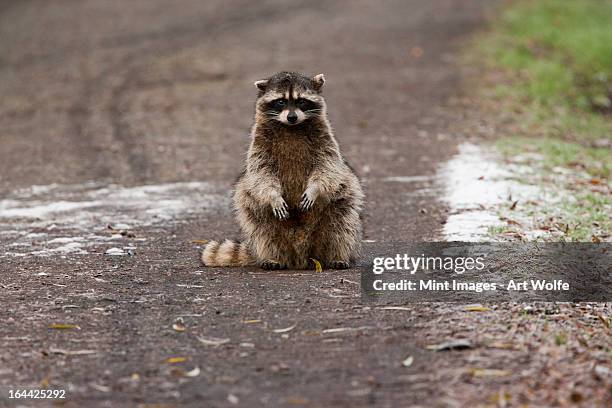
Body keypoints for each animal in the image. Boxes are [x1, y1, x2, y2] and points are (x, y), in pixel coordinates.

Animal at [202, 72, 364, 270]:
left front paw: (314, 189)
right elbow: (261, 173)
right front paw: (273, 196)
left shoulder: (326, 141)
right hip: (254, 209)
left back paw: (337, 256)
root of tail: (301, 258)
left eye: (301, 101)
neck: (291, 127)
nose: (292, 117)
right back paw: (272, 257)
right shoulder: (259, 145)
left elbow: (327, 167)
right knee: (261, 225)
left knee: (342, 222)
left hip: (342, 202)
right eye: (280, 101)